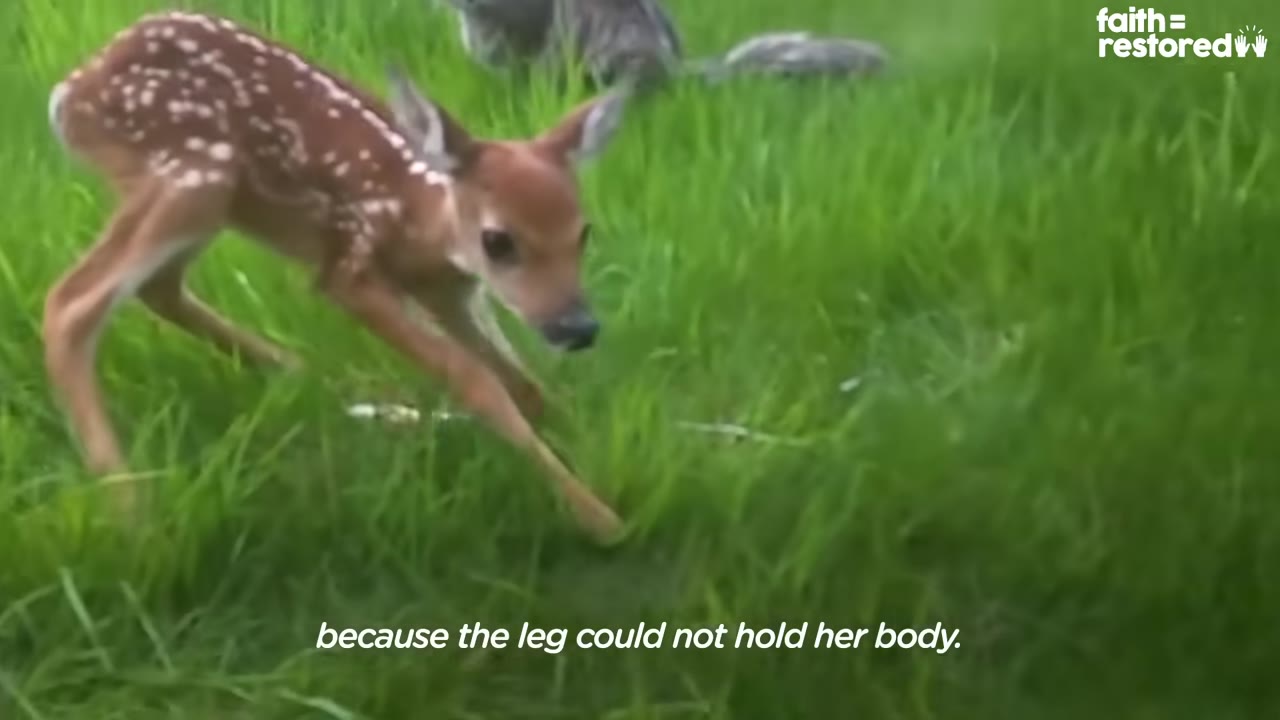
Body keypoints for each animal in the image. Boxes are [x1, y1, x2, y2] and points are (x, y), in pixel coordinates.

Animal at [43, 10, 630, 544]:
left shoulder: (451, 293)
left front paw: (581, 448)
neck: (421, 223)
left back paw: (332, 387)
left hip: (210, 197)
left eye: (583, 232)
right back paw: (131, 510)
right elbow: (474, 378)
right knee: (71, 303)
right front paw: (601, 518)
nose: (578, 328)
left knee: (157, 289)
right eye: (498, 240)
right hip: (195, 170)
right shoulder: (350, 268)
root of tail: (70, 92)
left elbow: (524, 386)